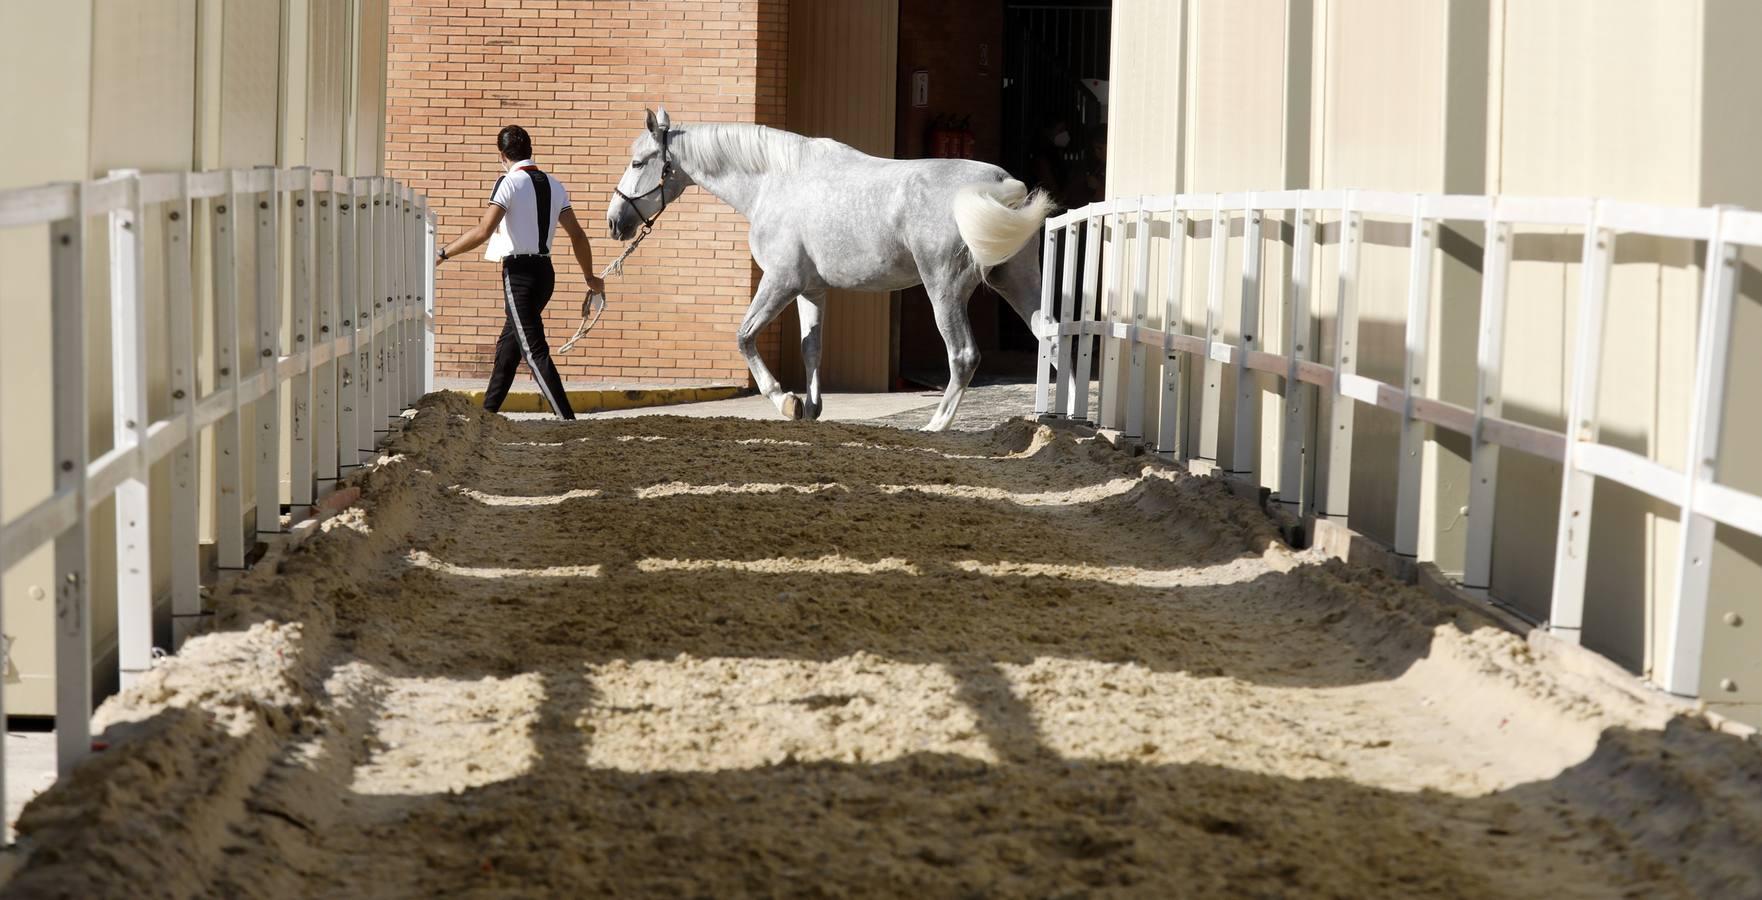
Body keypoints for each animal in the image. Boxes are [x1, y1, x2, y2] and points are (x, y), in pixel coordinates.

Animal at [606, 107, 1050, 431]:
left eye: (638, 162)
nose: (615, 222)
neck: (774, 182)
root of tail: (1000, 185)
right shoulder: (810, 289)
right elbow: (810, 347)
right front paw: (811, 407)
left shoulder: (780, 282)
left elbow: (744, 337)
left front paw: (785, 401)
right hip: (1015, 281)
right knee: (1047, 334)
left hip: (944, 289)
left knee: (962, 355)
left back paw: (936, 426)